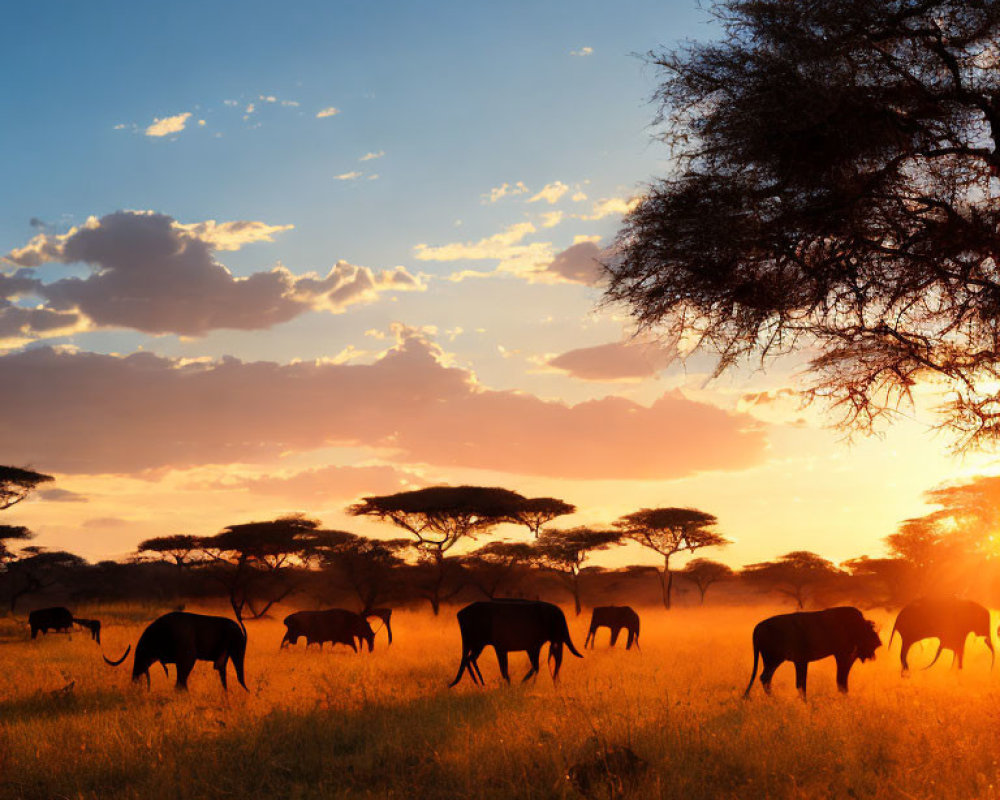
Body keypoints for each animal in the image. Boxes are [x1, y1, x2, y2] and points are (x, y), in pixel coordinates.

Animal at [450, 600, 584, 688]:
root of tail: (460, 613)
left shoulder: (533, 647)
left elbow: (535, 666)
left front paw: (521, 684)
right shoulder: (502, 647)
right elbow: (506, 669)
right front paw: (515, 685)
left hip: (477, 643)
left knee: (470, 658)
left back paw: (479, 682)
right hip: (477, 641)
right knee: (470, 658)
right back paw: (480, 682)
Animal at [748, 608, 880, 700]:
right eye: (870, 635)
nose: (878, 642)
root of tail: (758, 626)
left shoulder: (801, 661)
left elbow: (801, 685)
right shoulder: (842, 655)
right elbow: (840, 681)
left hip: (770, 660)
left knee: (766, 679)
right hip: (773, 659)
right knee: (765, 678)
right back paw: (775, 700)